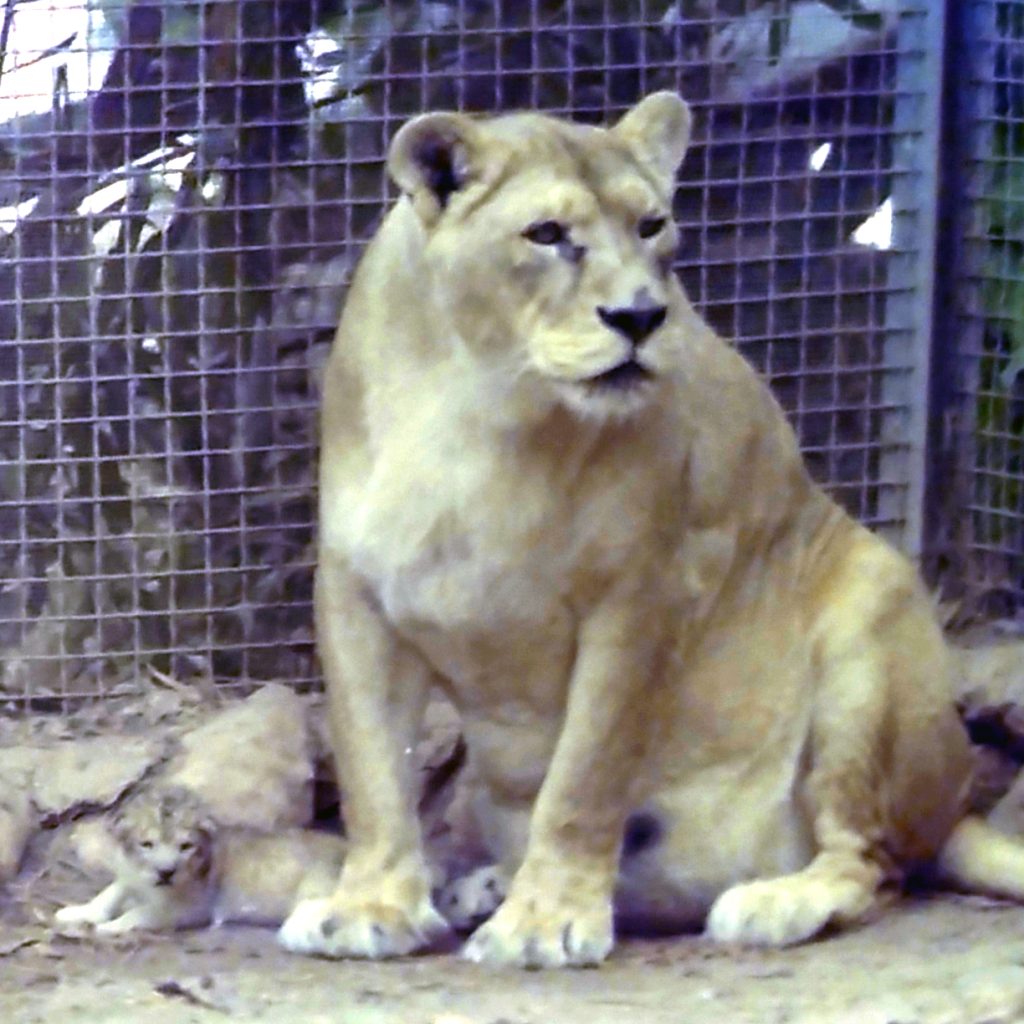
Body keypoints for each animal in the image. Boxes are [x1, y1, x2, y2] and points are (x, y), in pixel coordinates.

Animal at [277, 92, 1024, 968]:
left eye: (652, 225)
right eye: (547, 234)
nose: (639, 315)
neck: (480, 404)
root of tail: (954, 805)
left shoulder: (639, 598)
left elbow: (585, 774)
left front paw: (547, 920)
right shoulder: (354, 597)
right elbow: (371, 773)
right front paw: (370, 906)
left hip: (870, 628)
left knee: (871, 862)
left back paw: (773, 900)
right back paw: (485, 885)